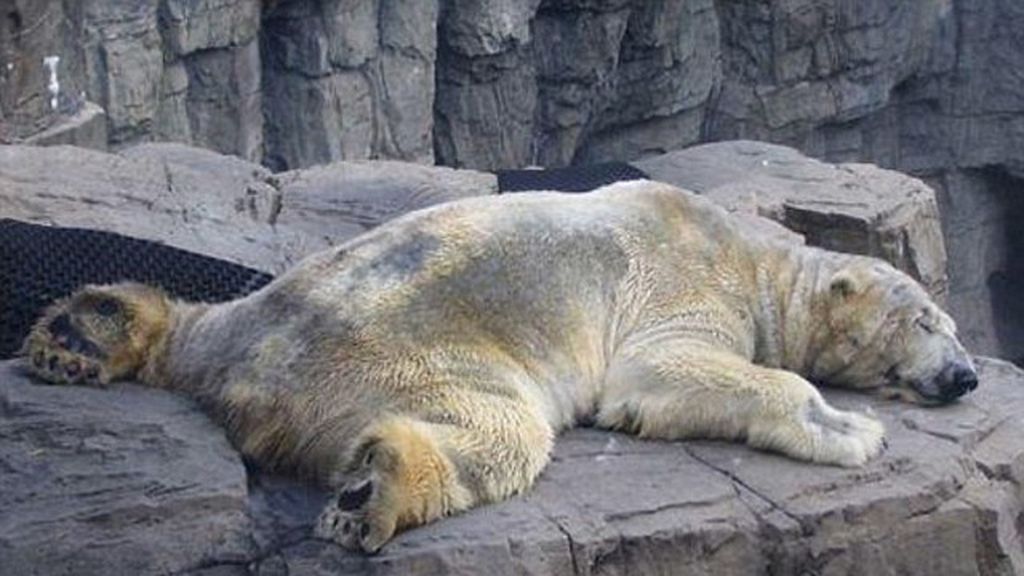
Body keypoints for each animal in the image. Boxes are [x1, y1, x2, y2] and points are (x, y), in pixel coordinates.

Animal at [22, 180, 977, 553]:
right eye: (926, 319)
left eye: (952, 323)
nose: (967, 376)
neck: (755, 260)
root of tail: (246, 375)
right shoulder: (683, 282)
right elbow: (665, 373)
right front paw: (847, 426)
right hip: (408, 356)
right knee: (498, 429)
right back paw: (377, 489)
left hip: (243, 318)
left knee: (184, 320)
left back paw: (84, 332)